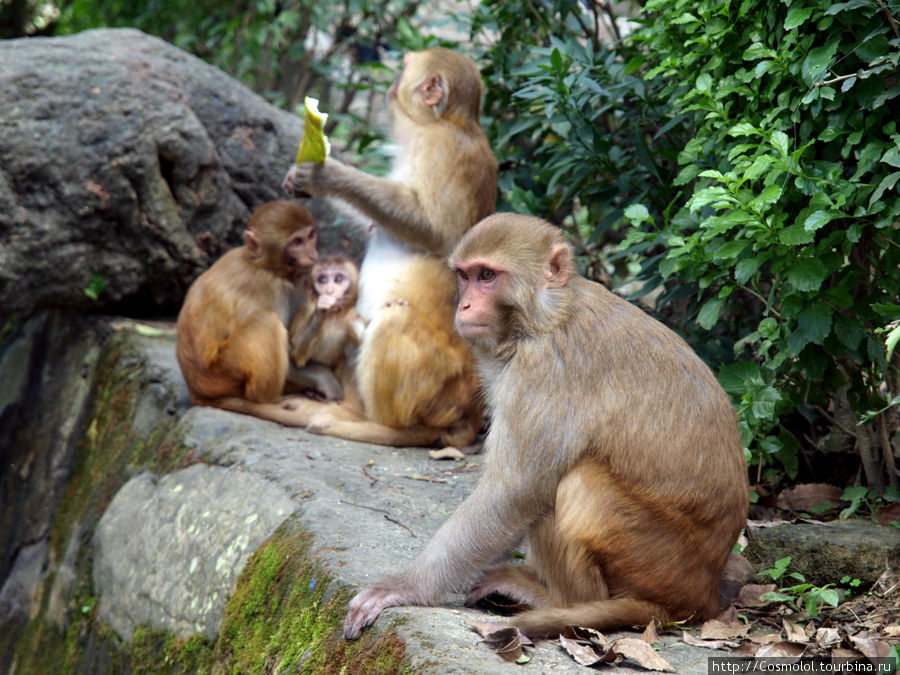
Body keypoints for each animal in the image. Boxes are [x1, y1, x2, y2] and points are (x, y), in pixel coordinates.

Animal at [174, 202, 318, 406]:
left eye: (311, 235)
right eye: (297, 242)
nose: (312, 255)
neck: (263, 264)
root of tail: (198, 394)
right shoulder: (270, 287)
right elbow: (293, 356)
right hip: (222, 374)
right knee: (266, 321)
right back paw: (268, 398)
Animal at [292, 251, 366, 398]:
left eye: (338, 279)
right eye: (323, 280)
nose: (329, 290)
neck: (334, 315)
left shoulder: (352, 314)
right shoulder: (308, 308)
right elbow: (296, 355)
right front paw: (320, 312)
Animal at [344, 215, 752, 640]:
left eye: (487, 275)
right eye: (465, 276)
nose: (464, 305)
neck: (547, 316)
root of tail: (697, 598)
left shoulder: (544, 369)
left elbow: (515, 491)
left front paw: (405, 586)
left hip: (651, 559)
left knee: (577, 482)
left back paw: (560, 600)